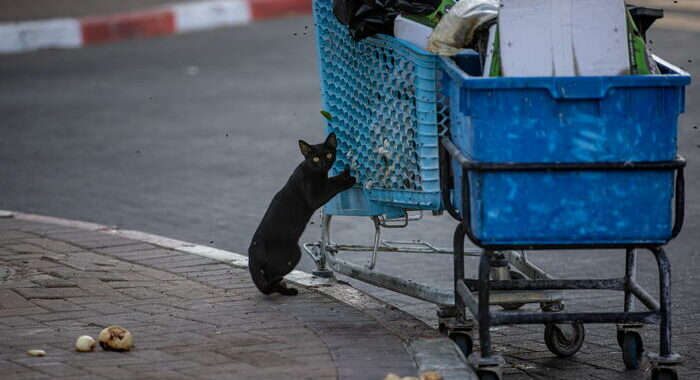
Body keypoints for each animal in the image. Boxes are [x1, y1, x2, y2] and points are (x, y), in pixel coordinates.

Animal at [247, 134, 356, 296]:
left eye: (329, 155)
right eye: (315, 159)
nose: (324, 163)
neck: (315, 172)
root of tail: (252, 253)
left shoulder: (325, 182)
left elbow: (333, 180)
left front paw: (345, 172)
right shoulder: (316, 197)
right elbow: (335, 187)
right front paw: (350, 180)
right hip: (292, 255)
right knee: (270, 276)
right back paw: (288, 291)